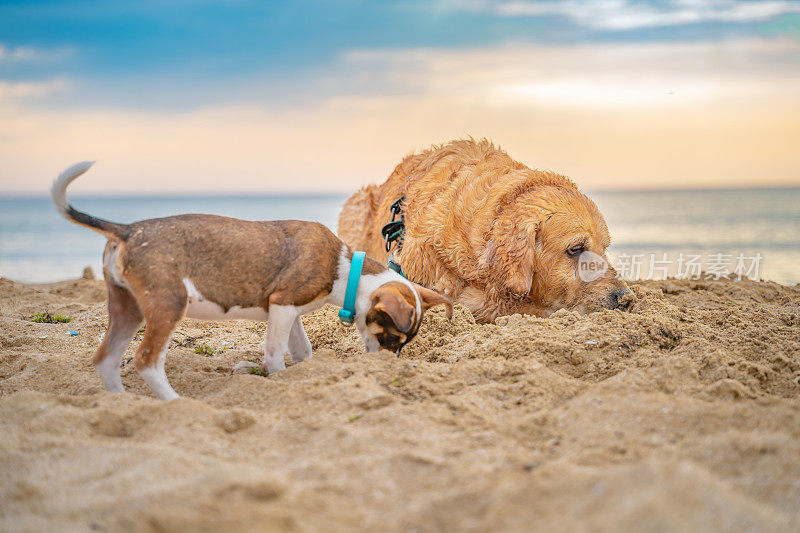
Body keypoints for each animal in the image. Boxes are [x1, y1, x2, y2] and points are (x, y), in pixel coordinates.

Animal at [51, 162, 450, 400]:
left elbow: (303, 351)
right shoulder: (283, 305)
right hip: (167, 305)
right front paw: (276, 376)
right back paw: (173, 403)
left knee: (106, 358)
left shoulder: (290, 311)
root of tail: (128, 229)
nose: (388, 368)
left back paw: (119, 402)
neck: (345, 269)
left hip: (128, 308)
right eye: (392, 337)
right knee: (145, 360)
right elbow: (275, 354)